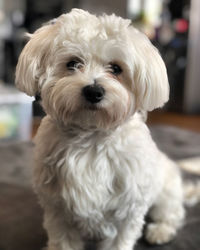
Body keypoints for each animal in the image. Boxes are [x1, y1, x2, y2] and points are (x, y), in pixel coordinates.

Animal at [15, 8, 184, 250]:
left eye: (116, 68)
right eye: (73, 63)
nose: (94, 91)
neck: (91, 136)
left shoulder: (128, 208)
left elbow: (120, 240)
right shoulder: (58, 210)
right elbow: (63, 240)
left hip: (166, 192)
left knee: (171, 214)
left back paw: (161, 231)